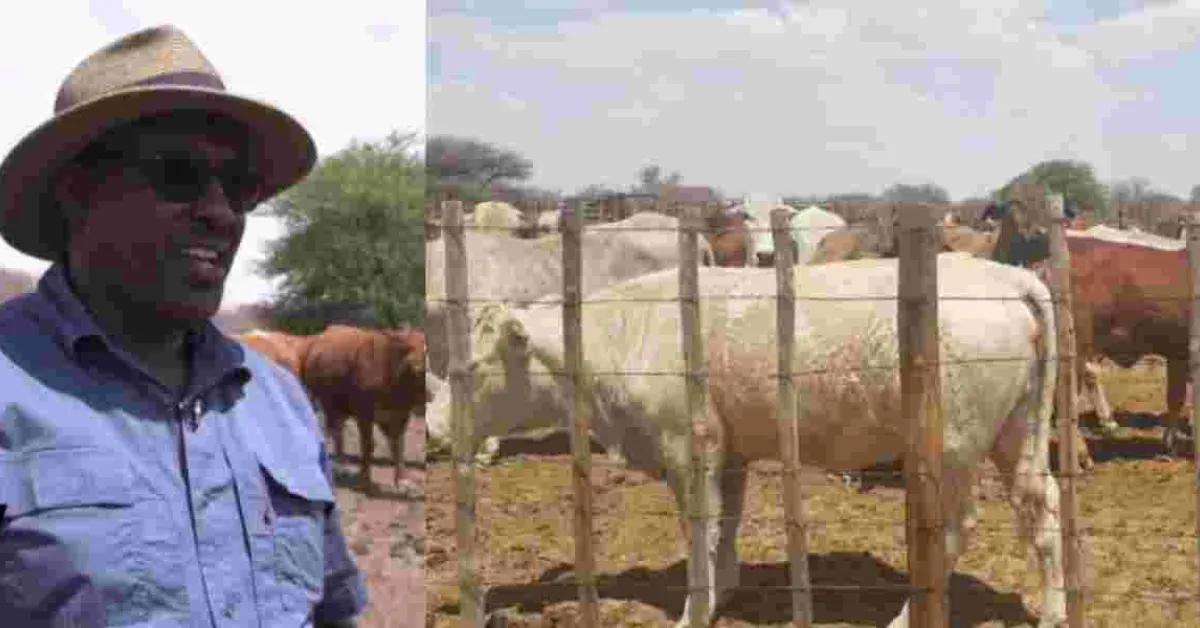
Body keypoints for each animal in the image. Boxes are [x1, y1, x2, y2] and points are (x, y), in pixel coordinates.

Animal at [301, 324, 428, 493]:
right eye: (409, 348)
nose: (416, 365)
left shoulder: (401, 415)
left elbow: (398, 446)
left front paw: (402, 480)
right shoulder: (364, 414)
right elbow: (368, 445)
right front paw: (365, 481)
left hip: (339, 407)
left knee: (337, 430)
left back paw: (342, 465)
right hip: (320, 400)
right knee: (329, 429)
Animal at [427, 255, 1066, 628]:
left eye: (472, 368)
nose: (432, 428)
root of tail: (1004, 274)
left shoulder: (690, 448)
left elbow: (700, 532)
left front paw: (694, 612)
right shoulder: (729, 452)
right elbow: (726, 527)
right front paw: (723, 596)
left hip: (953, 446)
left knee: (956, 529)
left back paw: (908, 618)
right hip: (1016, 435)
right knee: (1043, 512)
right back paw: (1055, 612)